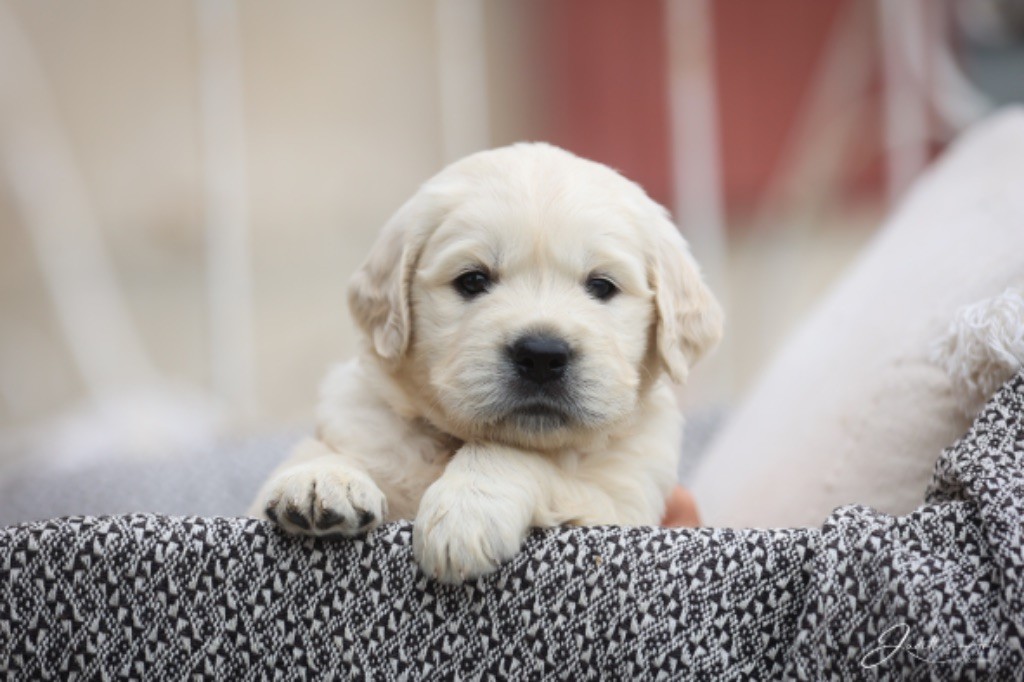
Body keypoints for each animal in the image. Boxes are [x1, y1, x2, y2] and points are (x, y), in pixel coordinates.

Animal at [251, 142, 724, 577]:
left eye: (602, 286)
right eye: (473, 280)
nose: (541, 355)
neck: (451, 442)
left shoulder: (619, 501)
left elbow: (523, 456)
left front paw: (465, 510)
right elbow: (333, 450)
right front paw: (321, 477)